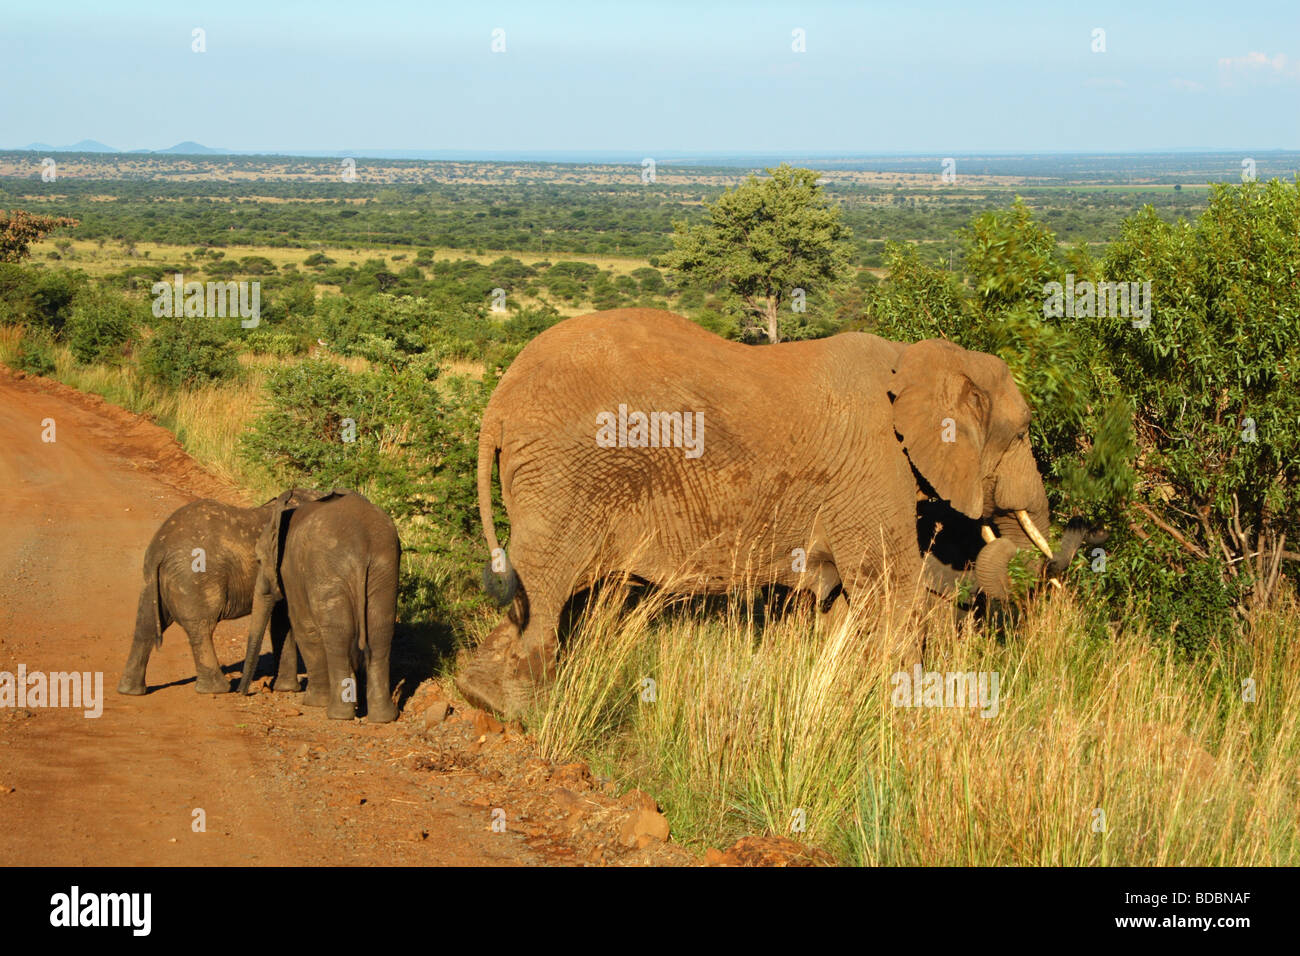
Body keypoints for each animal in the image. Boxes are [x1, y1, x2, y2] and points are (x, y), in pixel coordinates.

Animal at [117, 489, 326, 696]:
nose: (243, 692)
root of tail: (159, 547)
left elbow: (281, 620)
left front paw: (286, 688)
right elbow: (284, 618)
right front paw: (290, 689)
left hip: (154, 580)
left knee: (145, 625)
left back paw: (130, 691)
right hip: (194, 577)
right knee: (202, 627)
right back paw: (217, 689)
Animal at [235, 489, 401, 723]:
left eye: (258, 560)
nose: (241, 692)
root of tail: (362, 541)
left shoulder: (290, 569)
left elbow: (303, 627)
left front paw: (313, 702)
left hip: (327, 568)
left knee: (338, 634)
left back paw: (338, 714)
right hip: (384, 567)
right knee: (380, 632)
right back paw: (383, 717)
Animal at [456, 308, 1085, 719]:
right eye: (1022, 432)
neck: (920, 361)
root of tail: (500, 400)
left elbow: (851, 601)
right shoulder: (872, 466)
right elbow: (887, 586)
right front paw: (909, 708)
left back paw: (478, 690)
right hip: (568, 469)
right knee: (547, 576)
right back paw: (520, 708)